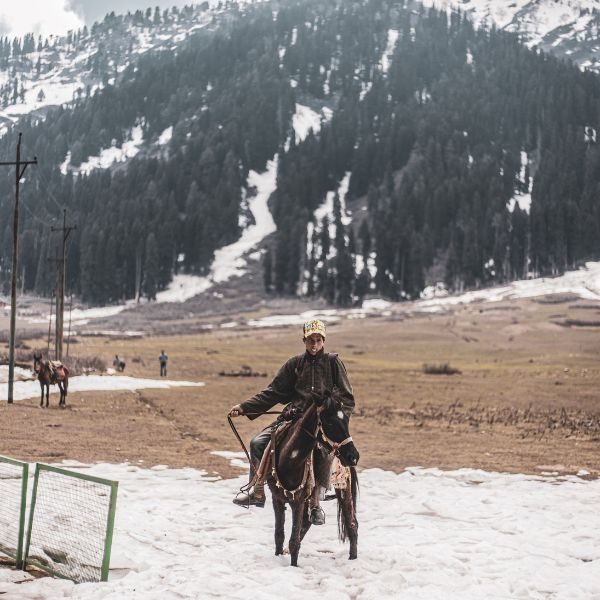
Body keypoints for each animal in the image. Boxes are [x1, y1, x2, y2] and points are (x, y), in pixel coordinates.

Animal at [268, 394, 360, 568]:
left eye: (346, 420)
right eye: (330, 423)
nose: (353, 456)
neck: (289, 461)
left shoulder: (298, 501)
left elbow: (294, 541)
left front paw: (293, 566)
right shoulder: (277, 498)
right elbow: (279, 535)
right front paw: (278, 557)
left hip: (343, 489)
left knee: (352, 525)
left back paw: (353, 559)